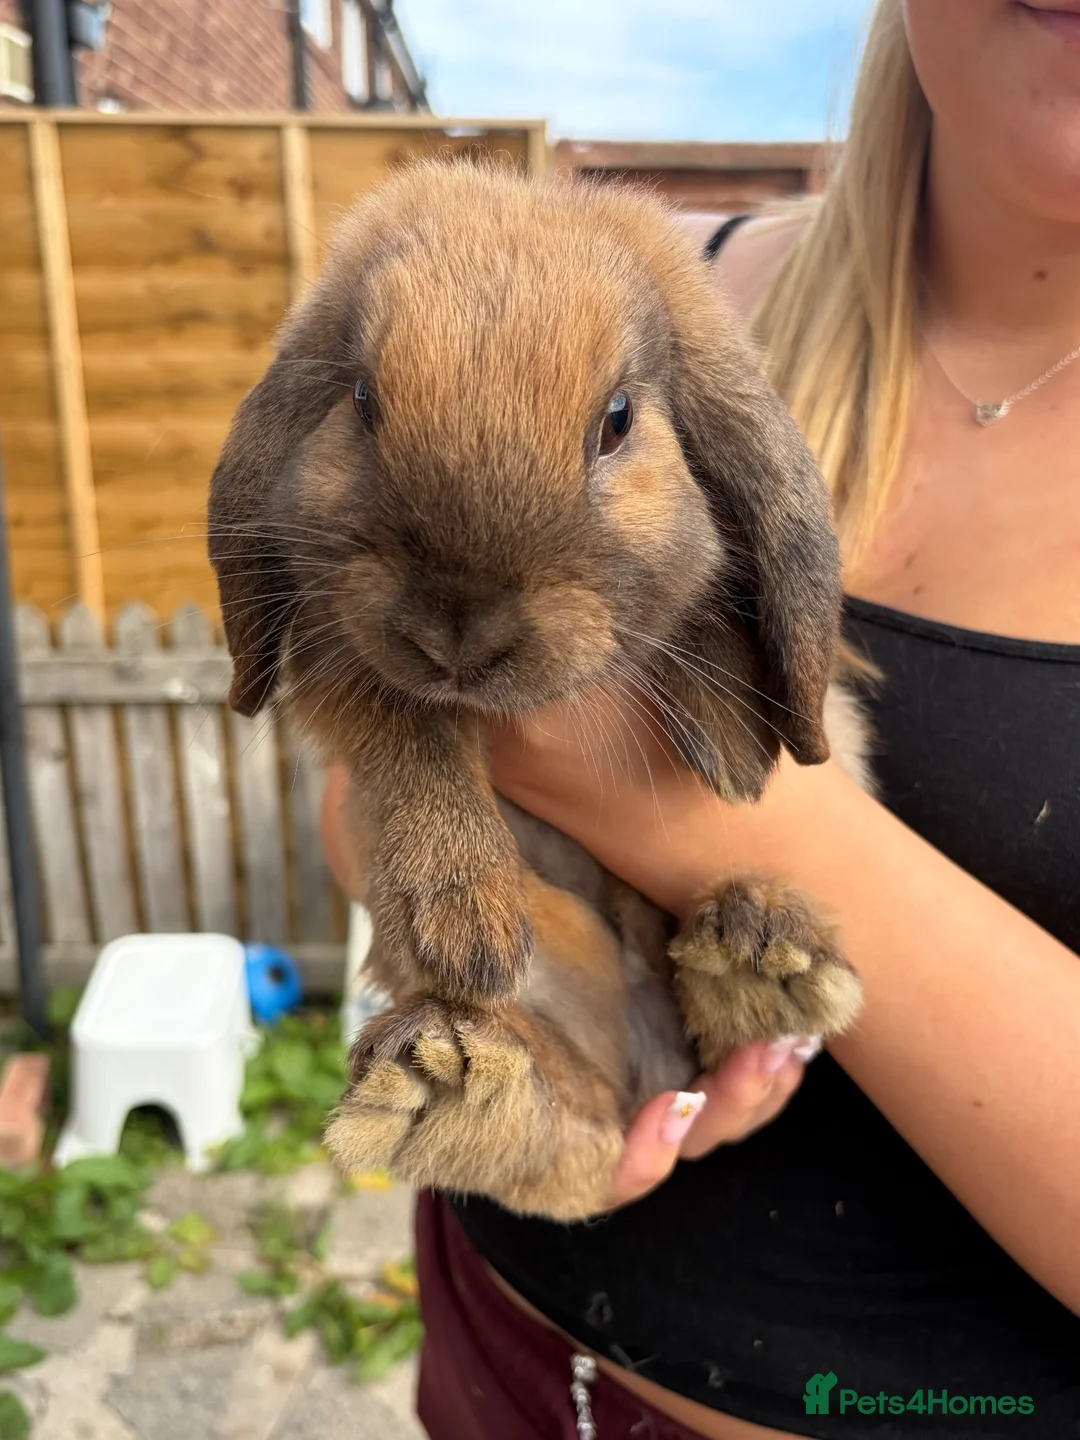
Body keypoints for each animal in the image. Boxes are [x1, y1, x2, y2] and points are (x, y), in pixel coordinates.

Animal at [208, 161, 867, 1221]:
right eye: (362, 400)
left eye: (619, 419)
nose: (459, 628)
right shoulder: (347, 659)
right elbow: (415, 739)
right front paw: (466, 923)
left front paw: (729, 744)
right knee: (567, 1128)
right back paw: (449, 1081)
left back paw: (763, 951)